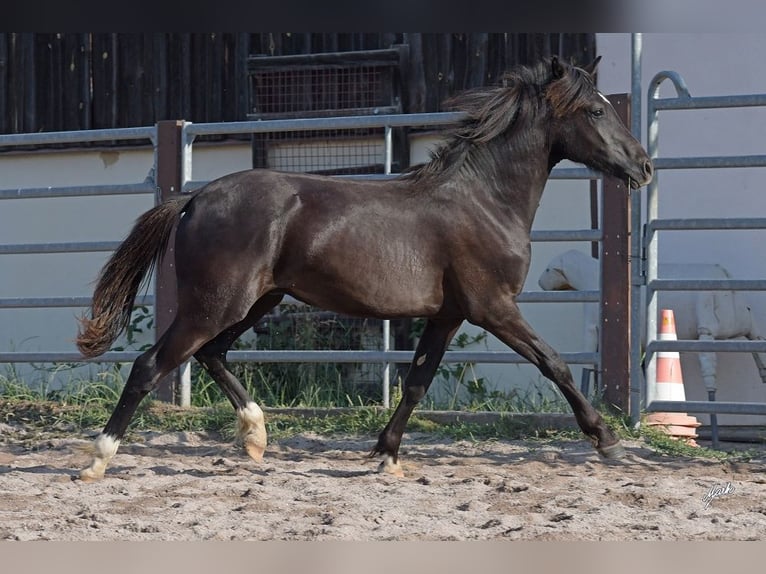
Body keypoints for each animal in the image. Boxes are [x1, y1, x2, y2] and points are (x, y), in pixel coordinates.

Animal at [76, 57, 656, 482]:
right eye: (596, 112)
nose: (644, 167)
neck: (484, 201)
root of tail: (194, 199)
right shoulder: (493, 307)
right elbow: (554, 364)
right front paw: (608, 442)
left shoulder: (448, 314)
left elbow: (416, 382)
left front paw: (386, 455)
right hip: (216, 302)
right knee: (151, 365)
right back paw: (99, 459)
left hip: (258, 300)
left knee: (212, 353)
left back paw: (256, 437)